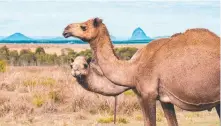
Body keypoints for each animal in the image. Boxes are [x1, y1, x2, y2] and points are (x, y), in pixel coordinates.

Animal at [63, 18, 220, 126]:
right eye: (71, 65)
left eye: (84, 26)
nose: (65, 29)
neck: (133, 69)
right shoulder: (162, 98)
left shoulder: (148, 94)